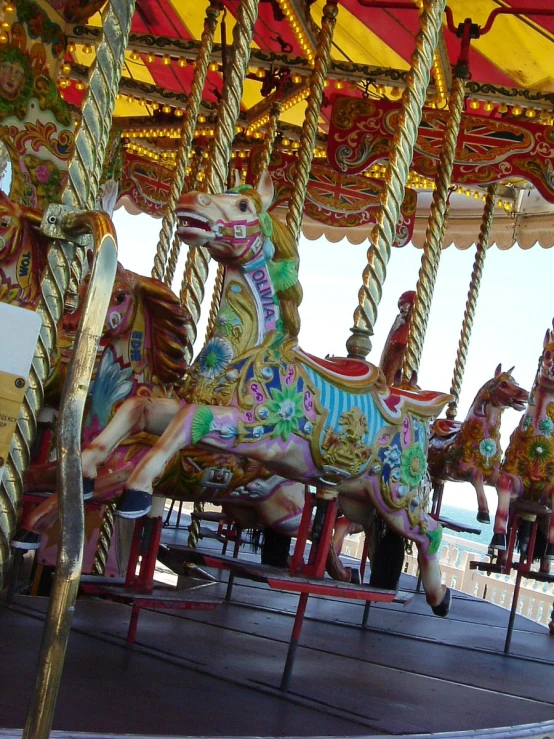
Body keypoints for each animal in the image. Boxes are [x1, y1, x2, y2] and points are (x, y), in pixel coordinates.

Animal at [424, 368, 528, 524]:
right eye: (503, 384)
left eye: (517, 382)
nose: (526, 393)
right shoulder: (456, 470)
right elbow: (476, 475)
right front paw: (484, 514)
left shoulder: (491, 474)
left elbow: (504, 481)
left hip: (438, 475)